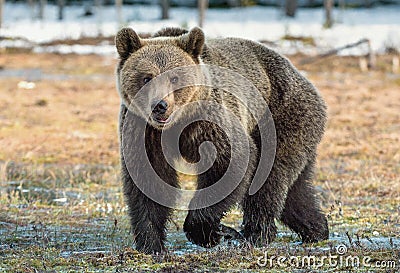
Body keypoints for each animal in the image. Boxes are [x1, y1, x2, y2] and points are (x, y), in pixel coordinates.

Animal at [115, 26, 328, 253]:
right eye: (146, 77)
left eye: (174, 78)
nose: (160, 105)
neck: (176, 126)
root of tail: (303, 79)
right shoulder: (143, 131)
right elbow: (148, 181)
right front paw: (151, 244)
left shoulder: (211, 121)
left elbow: (228, 164)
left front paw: (213, 232)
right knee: (295, 191)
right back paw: (317, 229)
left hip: (281, 117)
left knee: (269, 178)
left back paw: (254, 235)